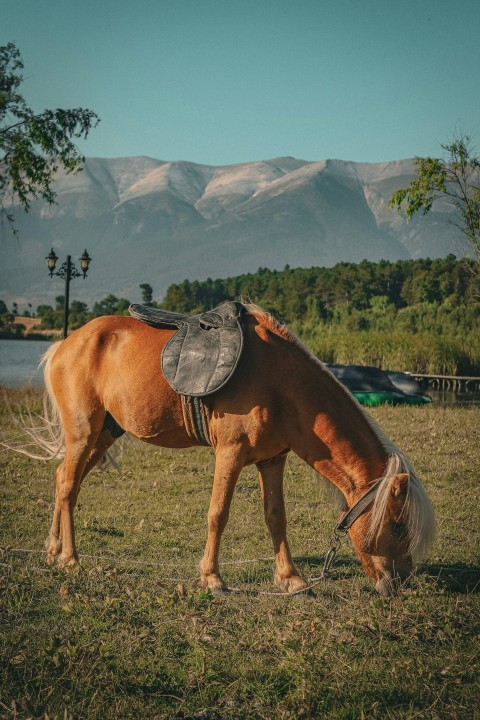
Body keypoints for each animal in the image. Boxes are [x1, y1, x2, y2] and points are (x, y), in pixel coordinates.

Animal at [12, 304, 436, 596]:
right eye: (397, 526)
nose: (400, 583)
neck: (280, 382)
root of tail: (65, 343)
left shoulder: (273, 460)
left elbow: (276, 518)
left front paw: (291, 579)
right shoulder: (230, 454)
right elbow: (218, 513)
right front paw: (212, 577)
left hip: (102, 436)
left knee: (64, 482)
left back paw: (53, 550)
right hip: (84, 433)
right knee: (68, 485)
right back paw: (69, 558)